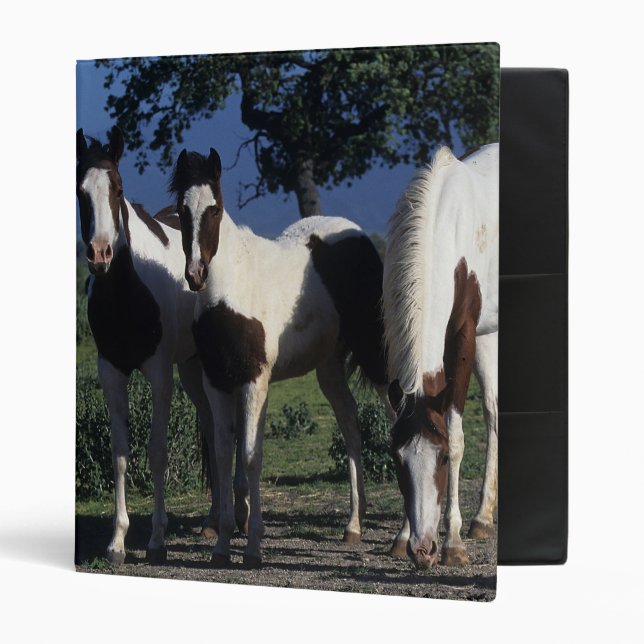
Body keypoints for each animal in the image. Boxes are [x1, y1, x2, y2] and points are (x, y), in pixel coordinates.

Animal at [76, 127, 248, 564]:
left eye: (118, 188)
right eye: (80, 191)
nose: (100, 254)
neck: (126, 293)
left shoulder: (158, 374)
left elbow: (156, 452)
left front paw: (156, 540)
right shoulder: (111, 372)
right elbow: (120, 454)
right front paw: (117, 541)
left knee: (236, 430)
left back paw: (239, 514)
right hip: (192, 368)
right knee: (211, 430)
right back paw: (213, 520)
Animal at [169, 147, 393, 568]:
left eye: (215, 209)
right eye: (180, 210)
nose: (195, 274)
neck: (230, 291)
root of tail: (357, 236)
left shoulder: (255, 381)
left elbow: (250, 457)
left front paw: (253, 548)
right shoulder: (217, 382)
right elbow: (222, 456)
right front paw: (222, 546)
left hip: (377, 357)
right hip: (329, 368)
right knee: (351, 426)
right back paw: (354, 526)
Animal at [382, 144, 499, 568]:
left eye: (444, 459)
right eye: (398, 461)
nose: (423, 549)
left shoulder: (463, 335)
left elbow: (459, 432)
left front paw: (454, 543)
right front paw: (402, 536)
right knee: (493, 411)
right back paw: (482, 518)